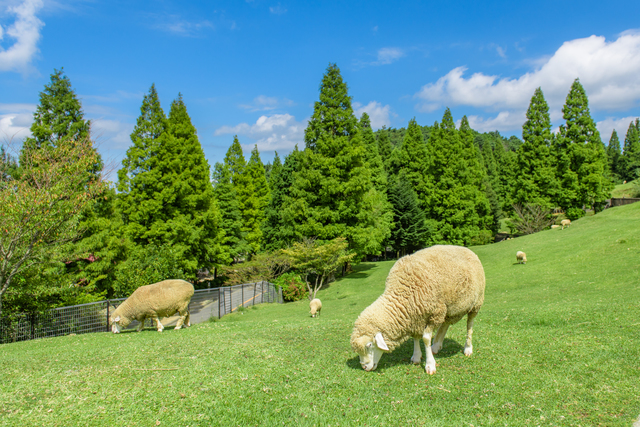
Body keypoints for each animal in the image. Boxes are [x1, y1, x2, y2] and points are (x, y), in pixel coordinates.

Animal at [350, 246, 484, 376]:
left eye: (369, 345)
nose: (364, 367)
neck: (403, 293)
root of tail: (467, 249)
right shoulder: (415, 316)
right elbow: (415, 337)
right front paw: (416, 356)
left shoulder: (433, 314)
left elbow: (425, 338)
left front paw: (430, 364)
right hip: (449, 307)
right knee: (445, 324)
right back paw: (436, 346)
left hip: (476, 304)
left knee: (469, 325)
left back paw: (467, 348)